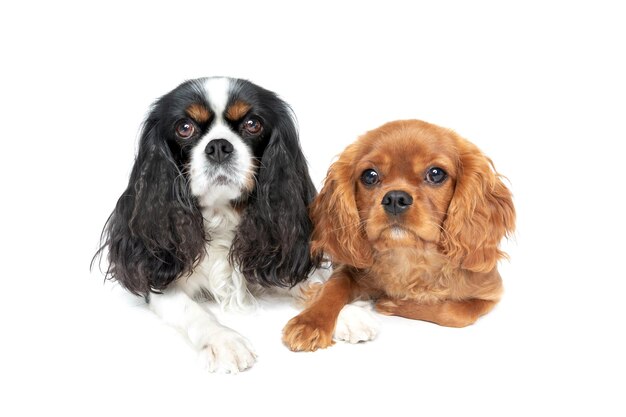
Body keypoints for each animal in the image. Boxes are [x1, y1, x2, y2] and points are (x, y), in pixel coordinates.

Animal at [95, 77, 320, 370]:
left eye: (253, 124)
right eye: (184, 128)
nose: (219, 146)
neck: (221, 214)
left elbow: (313, 284)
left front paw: (346, 314)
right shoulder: (161, 282)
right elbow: (193, 311)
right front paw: (224, 340)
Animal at [282, 119, 512, 352]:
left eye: (436, 173)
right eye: (369, 176)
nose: (395, 198)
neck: (410, 256)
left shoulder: (491, 293)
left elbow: (457, 313)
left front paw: (393, 303)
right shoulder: (350, 270)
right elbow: (333, 287)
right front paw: (311, 322)